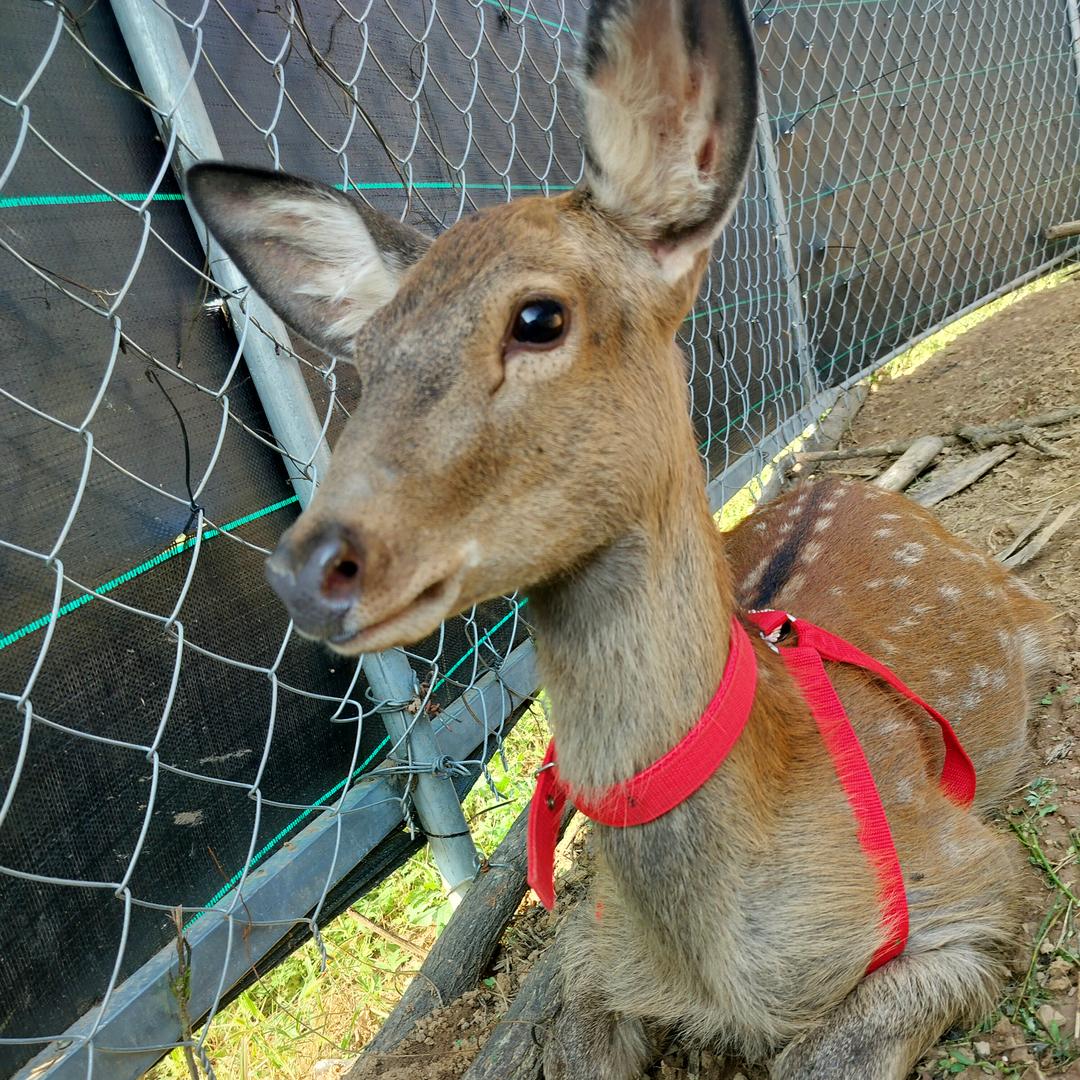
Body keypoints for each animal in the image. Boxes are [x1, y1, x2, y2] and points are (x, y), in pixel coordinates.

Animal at [185, 0, 1054, 1075]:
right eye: (369, 358)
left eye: (538, 316)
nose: (308, 570)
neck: (716, 952)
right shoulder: (595, 950)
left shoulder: (974, 879)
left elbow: (831, 1049)